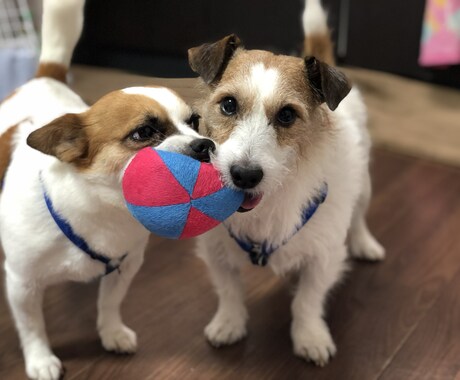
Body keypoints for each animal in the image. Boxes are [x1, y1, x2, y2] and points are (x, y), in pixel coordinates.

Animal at [0, 0, 212, 380]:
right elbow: (32, 326)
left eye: (194, 122)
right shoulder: (22, 284)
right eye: (143, 133)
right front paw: (39, 358)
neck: (102, 211)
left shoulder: (125, 266)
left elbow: (110, 303)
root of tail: (46, 75)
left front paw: (111, 332)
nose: (205, 145)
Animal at [187, 0, 384, 366]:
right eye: (229, 104)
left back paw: (366, 244)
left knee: (360, 217)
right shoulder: (216, 251)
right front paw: (229, 323)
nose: (244, 174)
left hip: (364, 186)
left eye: (287, 115)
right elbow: (229, 291)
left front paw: (310, 336)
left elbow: (307, 301)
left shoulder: (323, 258)